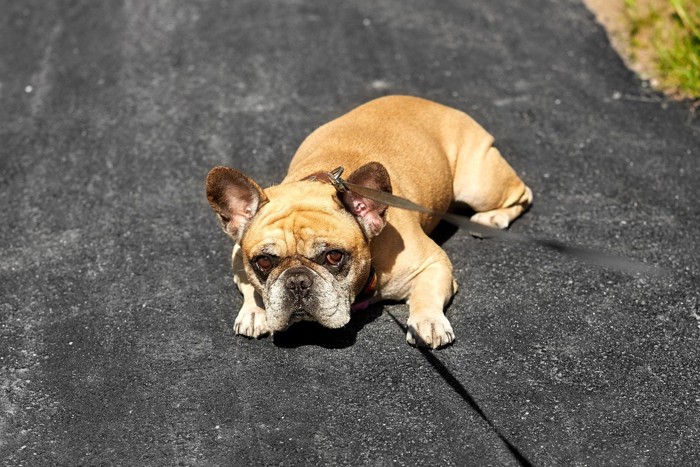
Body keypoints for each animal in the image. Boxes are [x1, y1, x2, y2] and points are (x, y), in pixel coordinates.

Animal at [205, 94, 532, 348]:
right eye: (263, 262)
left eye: (334, 256)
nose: (298, 281)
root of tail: (440, 106)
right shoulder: (238, 254)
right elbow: (250, 285)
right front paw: (255, 311)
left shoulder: (434, 263)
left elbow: (426, 292)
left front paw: (428, 322)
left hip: (477, 185)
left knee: (521, 193)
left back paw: (492, 218)